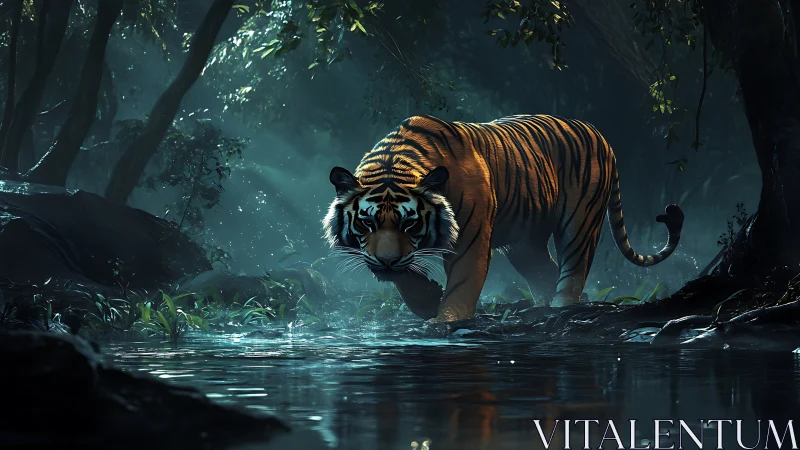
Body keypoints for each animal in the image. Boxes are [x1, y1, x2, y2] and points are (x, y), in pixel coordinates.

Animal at [322, 114, 684, 323]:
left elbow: (461, 286)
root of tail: (599, 133)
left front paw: (445, 322)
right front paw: (426, 300)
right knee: (545, 274)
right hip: (525, 244)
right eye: (366, 222)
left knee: (571, 274)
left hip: (580, 224)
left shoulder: (469, 242)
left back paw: (563, 310)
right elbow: (403, 276)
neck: (394, 161)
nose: (386, 261)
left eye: (409, 223)